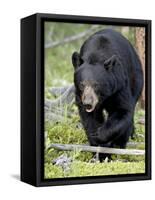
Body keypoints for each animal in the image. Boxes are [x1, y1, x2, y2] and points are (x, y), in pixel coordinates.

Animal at [71, 28, 143, 161]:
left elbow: (122, 110)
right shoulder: (80, 96)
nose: (88, 104)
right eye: (82, 84)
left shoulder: (119, 85)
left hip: (136, 77)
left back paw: (121, 144)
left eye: (96, 84)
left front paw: (101, 136)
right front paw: (99, 150)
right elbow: (89, 118)